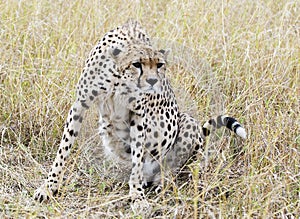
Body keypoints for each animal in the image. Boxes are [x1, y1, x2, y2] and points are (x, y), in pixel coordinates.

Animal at [34, 20, 246, 214]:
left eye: (159, 65)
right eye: (137, 64)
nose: (152, 81)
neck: (118, 80)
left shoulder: (138, 115)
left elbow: (137, 157)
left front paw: (137, 196)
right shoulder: (80, 104)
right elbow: (63, 149)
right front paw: (49, 186)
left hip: (187, 122)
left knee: (173, 167)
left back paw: (160, 182)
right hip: (108, 132)